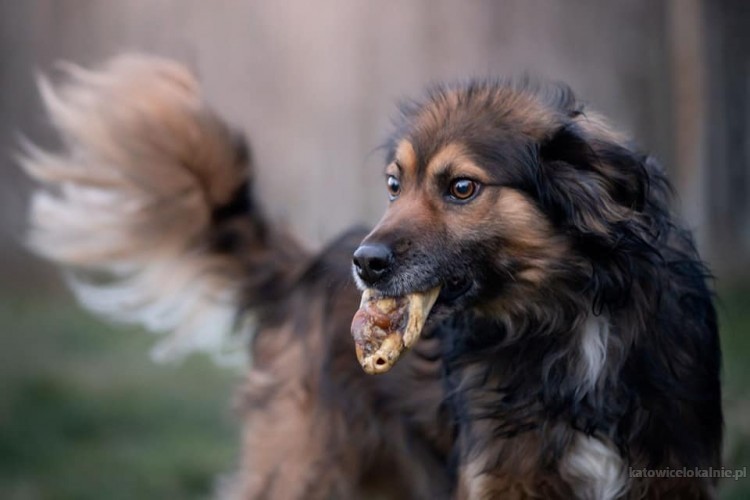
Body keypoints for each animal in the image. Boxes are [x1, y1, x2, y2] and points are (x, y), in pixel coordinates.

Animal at [23, 52, 724, 498]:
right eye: (394, 184)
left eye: (462, 187)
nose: (365, 264)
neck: (569, 319)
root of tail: (308, 268)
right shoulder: (502, 477)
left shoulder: (669, 473)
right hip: (304, 467)